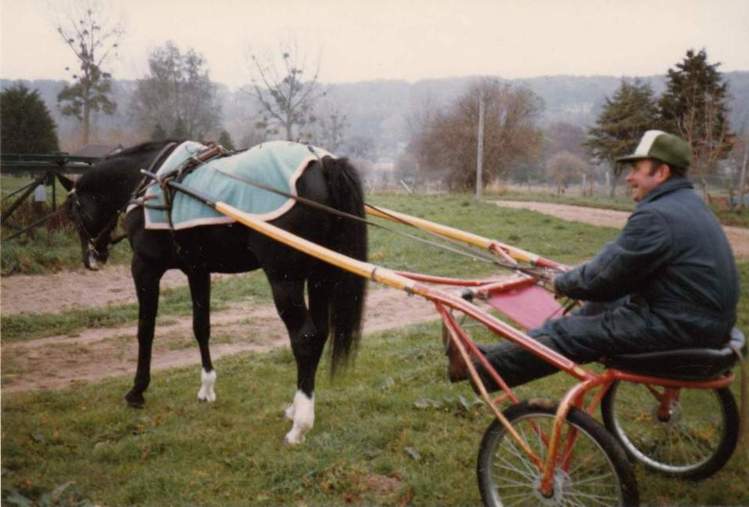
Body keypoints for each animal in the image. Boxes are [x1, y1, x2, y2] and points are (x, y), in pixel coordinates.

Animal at [62, 142, 366, 444]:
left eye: (74, 211)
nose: (91, 259)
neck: (150, 177)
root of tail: (320, 162)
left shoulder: (145, 268)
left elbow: (145, 330)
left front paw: (137, 391)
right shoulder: (197, 269)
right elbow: (201, 327)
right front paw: (207, 388)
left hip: (284, 279)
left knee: (305, 338)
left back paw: (300, 425)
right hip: (320, 276)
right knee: (320, 333)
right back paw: (296, 408)